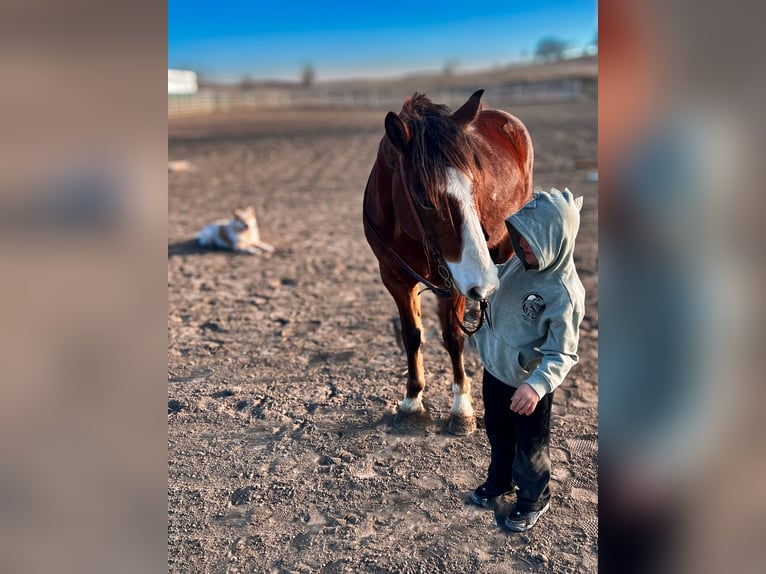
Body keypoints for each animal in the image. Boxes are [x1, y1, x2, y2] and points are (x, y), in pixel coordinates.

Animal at [364, 88, 536, 434]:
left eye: (475, 186)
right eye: (425, 199)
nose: (484, 284)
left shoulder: (455, 281)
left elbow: (453, 338)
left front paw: (462, 408)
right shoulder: (394, 278)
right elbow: (412, 335)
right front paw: (412, 401)